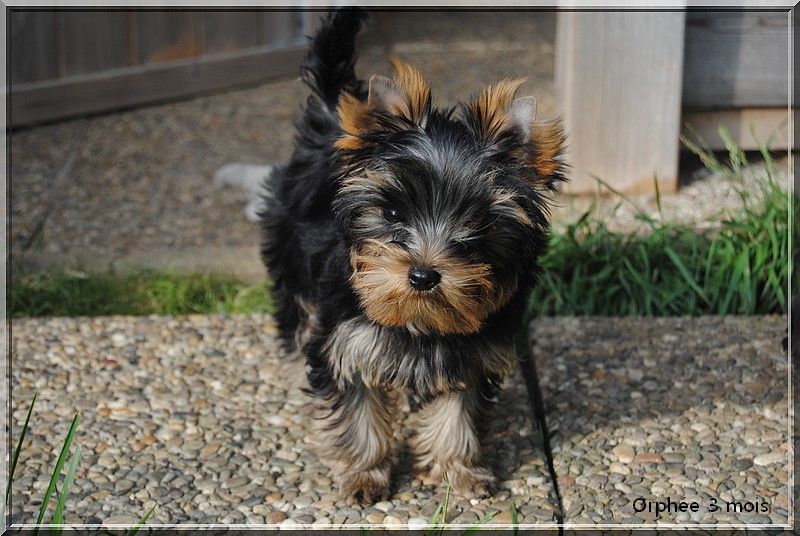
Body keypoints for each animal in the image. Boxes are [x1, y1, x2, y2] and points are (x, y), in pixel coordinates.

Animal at [260, 9, 564, 502]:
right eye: (392, 212)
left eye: (478, 224)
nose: (422, 275)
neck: (420, 321)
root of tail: (330, 118)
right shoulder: (347, 338)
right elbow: (357, 408)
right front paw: (365, 474)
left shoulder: (473, 351)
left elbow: (458, 410)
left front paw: (459, 471)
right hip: (289, 255)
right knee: (296, 320)